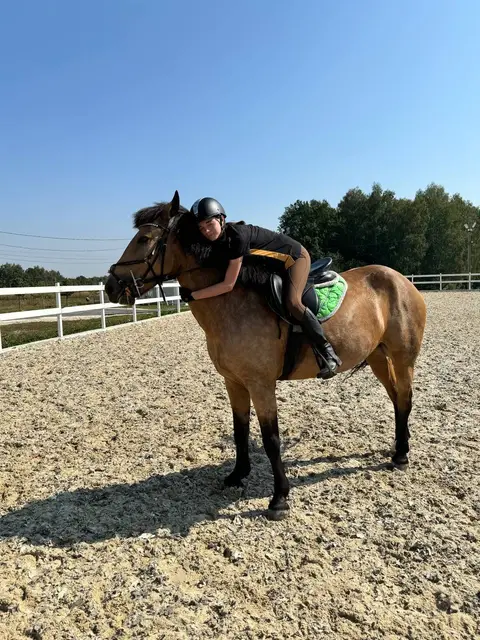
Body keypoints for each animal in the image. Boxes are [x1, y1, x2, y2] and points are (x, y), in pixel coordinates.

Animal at [105, 191, 427, 520]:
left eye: (144, 239)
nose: (110, 286)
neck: (231, 304)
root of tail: (402, 280)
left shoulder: (261, 384)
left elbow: (271, 439)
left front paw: (279, 498)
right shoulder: (234, 382)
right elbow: (240, 430)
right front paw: (237, 475)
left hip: (403, 358)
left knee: (405, 397)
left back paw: (401, 456)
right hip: (377, 356)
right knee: (397, 398)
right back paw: (399, 447)